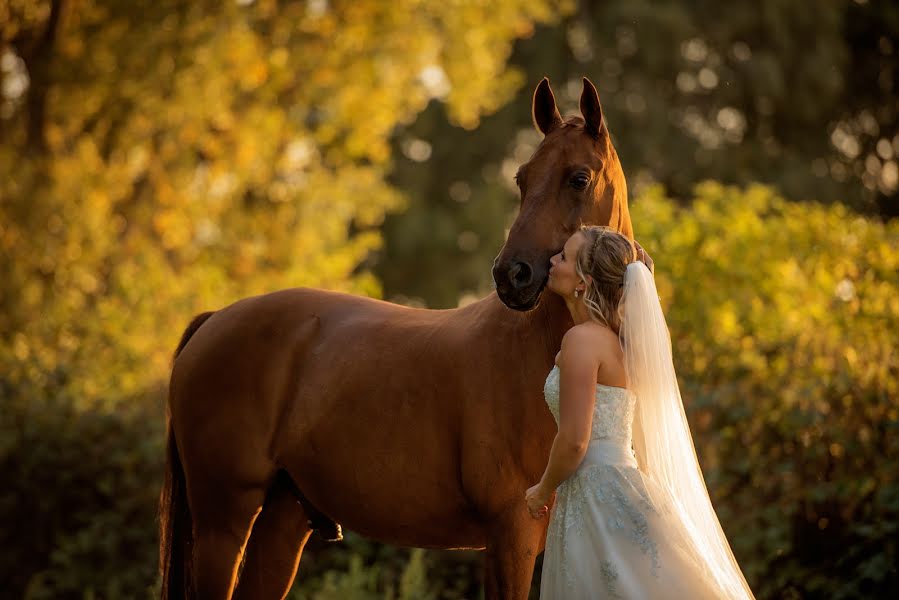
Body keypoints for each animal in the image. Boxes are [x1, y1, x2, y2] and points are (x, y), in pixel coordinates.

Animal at [158, 77, 628, 596]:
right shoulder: (511, 533)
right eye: (522, 179)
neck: (536, 353)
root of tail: (215, 319)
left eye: (578, 177)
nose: (512, 275)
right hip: (223, 525)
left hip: (281, 524)